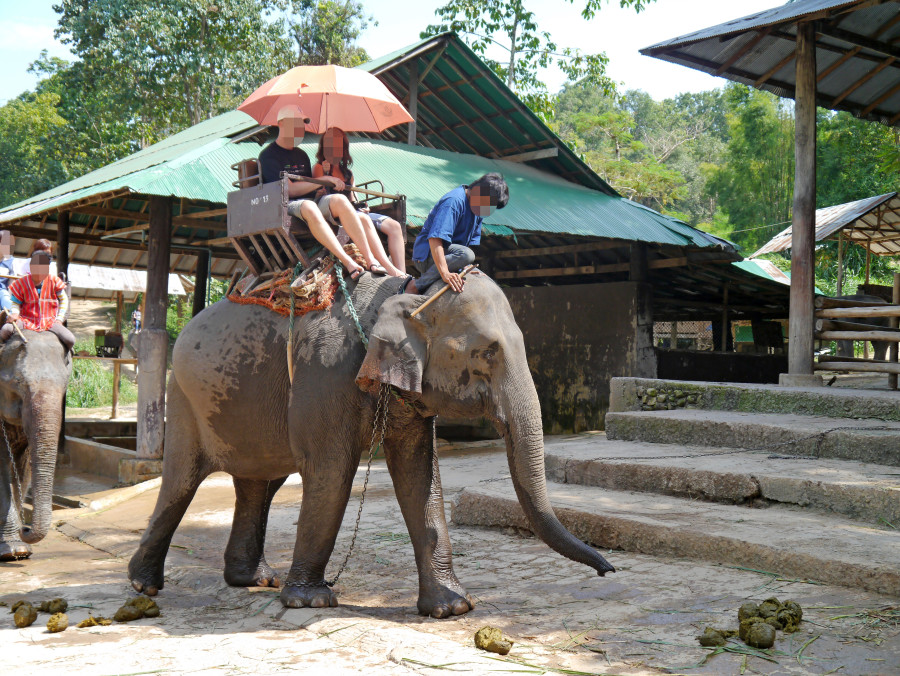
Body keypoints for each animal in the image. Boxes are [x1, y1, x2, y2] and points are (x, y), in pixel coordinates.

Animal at [0, 331, 72, 560]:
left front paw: (21, 549)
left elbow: (23, 468)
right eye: (18, 382)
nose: (26, 528)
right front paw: (11, 552)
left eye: (65, 385)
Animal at [128, 271, 614, 617]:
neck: (407, 292)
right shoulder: (324, 376)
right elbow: (331, 472)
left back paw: (253, 581)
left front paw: (452, 608)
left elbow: (420, 475)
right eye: (488, 351)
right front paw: (310, 601)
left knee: (258, 482)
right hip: (184, 397)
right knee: (181, 482)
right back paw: (143, 585)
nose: (608, 569)